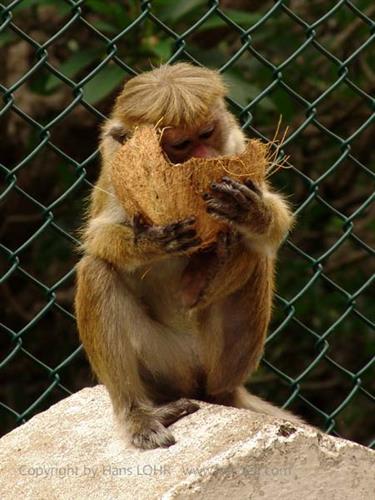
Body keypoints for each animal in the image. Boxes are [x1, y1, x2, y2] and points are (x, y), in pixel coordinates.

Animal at [75, 62, 304, 450]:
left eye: (207, 133)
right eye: (182, 144)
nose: (208, 159)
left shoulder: (235, 145)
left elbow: (273, 223)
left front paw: (251, 211)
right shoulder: (117, 166)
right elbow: (97, 240)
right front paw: (150, 242)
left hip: (220, 362)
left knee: (255, 252)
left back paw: (202, 279)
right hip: (165, 364)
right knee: (96, 270)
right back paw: (137, 414)